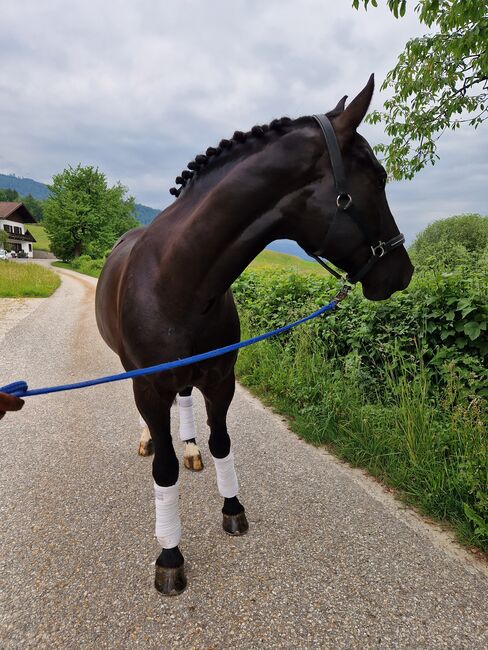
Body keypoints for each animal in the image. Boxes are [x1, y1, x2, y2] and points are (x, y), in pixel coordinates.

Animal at [94, 74, 412, 592]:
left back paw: (190, 448)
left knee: (187, 405)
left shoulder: (222, 378)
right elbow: (164, 471)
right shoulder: (151, 386)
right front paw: (169, 554)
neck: (176, 281)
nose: (402, 272)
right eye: (379, 177)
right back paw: (150, 440)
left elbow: (222, 442)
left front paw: (232, 507)